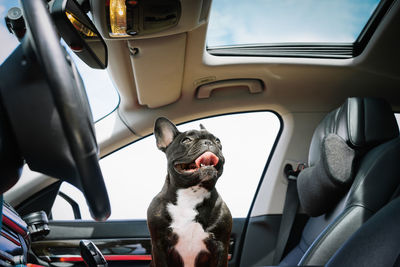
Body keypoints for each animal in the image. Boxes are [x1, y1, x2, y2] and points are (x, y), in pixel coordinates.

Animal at [148, 118, 233, 266]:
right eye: (186, 140)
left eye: (218, 141)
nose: (208, 142)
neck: (191, 193)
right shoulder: (159, 246)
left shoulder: (222, 246)